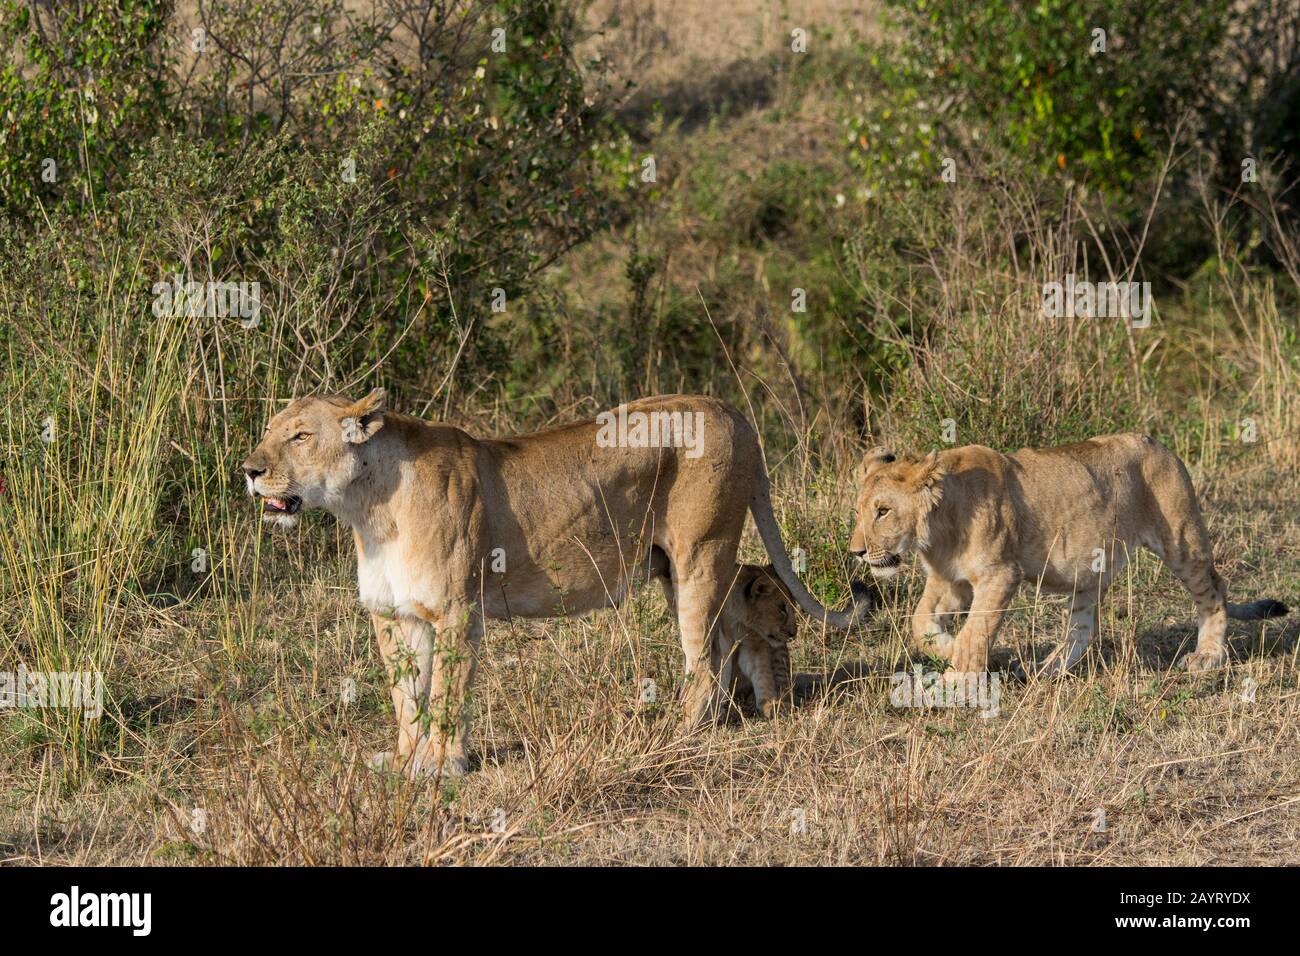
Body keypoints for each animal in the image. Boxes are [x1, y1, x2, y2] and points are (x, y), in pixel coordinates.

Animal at [242, 390, 871, 777]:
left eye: (300, 436)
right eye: (267, 432)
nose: (248, 470)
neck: (369, 510)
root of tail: (727, 407)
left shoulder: (456, 610)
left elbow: (445, 694)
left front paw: (442, 766)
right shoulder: (395, 615)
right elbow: (405, 700)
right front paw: (403, 764)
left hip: (701, 553)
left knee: (705, 658)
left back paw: (674, 732)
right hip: (674, 567)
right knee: (728, 634)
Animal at [847, 435, 1288, 676]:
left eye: (883, 511)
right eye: (860, 511)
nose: (857, 552)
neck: (938, 529)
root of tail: (1160, 444)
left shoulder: (1000, 574)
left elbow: (976, 631)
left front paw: (958, 677)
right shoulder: (949, 579)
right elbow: (919, 622)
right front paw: (947, 648)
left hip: (1182, 539)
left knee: (1214, 591)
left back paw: (1208, 657)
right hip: (1088, 569)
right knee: (1083, 628)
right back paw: (1047, 670)